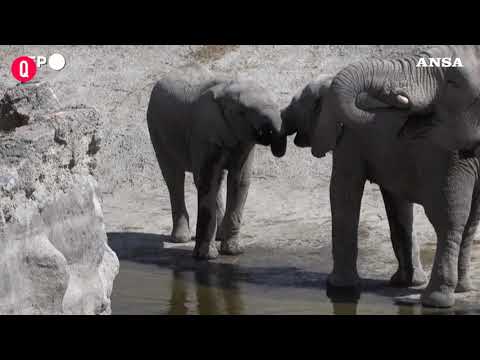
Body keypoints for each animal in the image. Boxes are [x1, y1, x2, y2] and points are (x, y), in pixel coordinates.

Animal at [146, 64, 286, 260]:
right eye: (243, 112)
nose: (270, 137)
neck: (227, 90)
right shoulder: (204, 133)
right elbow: (207, 182)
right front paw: (206, 257)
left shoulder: (244, 140)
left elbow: (239, 181)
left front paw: (234, 251)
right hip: (156, 128)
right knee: (174, 177)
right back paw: (181, 239)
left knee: (215, 181)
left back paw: (218, 236)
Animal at [304, 45, 480, 310]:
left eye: (452, 82)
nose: (396, 97)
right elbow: (397, 202)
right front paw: (401, 282)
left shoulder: (349, 142)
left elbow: (343, 189)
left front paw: (339, 287)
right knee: (468, 221)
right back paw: (461, 289)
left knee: (447, 217)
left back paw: (434, 300)